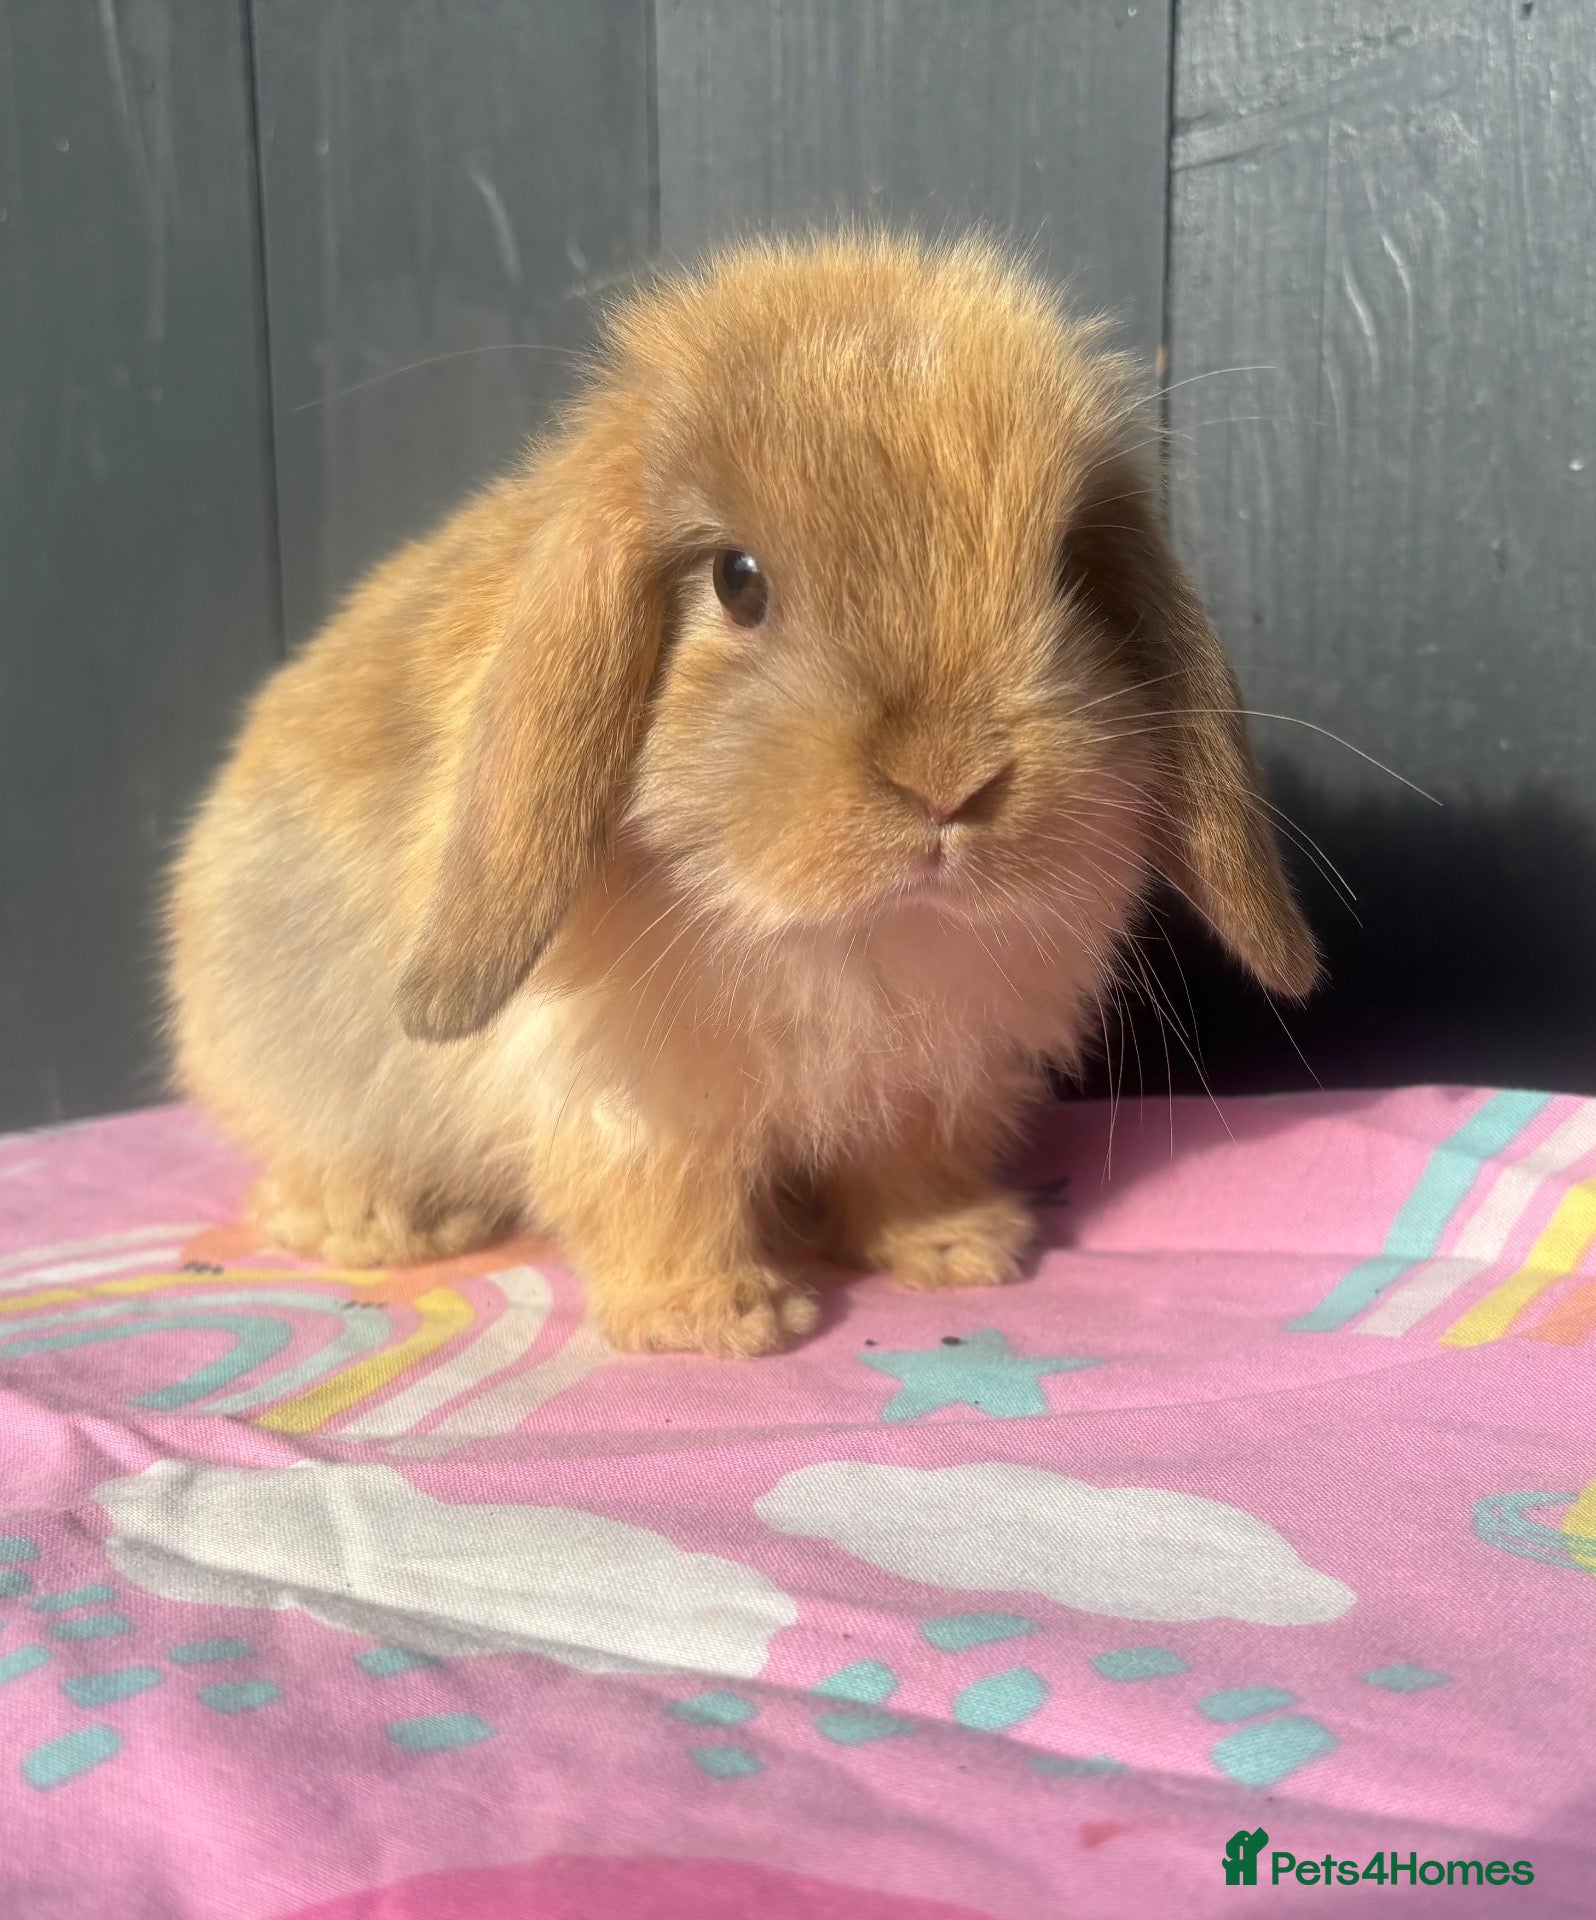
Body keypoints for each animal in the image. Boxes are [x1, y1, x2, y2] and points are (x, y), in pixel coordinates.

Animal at [166, 231, 1318, 1358]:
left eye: (1071, 574)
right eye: (738, 581)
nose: (951, 780)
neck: (855, 933)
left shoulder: (933, 1086)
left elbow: (909, 1170)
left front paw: (962, 1250)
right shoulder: (630, 1103)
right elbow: (661, 1197)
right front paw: (718, 1319)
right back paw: (378, 1222)